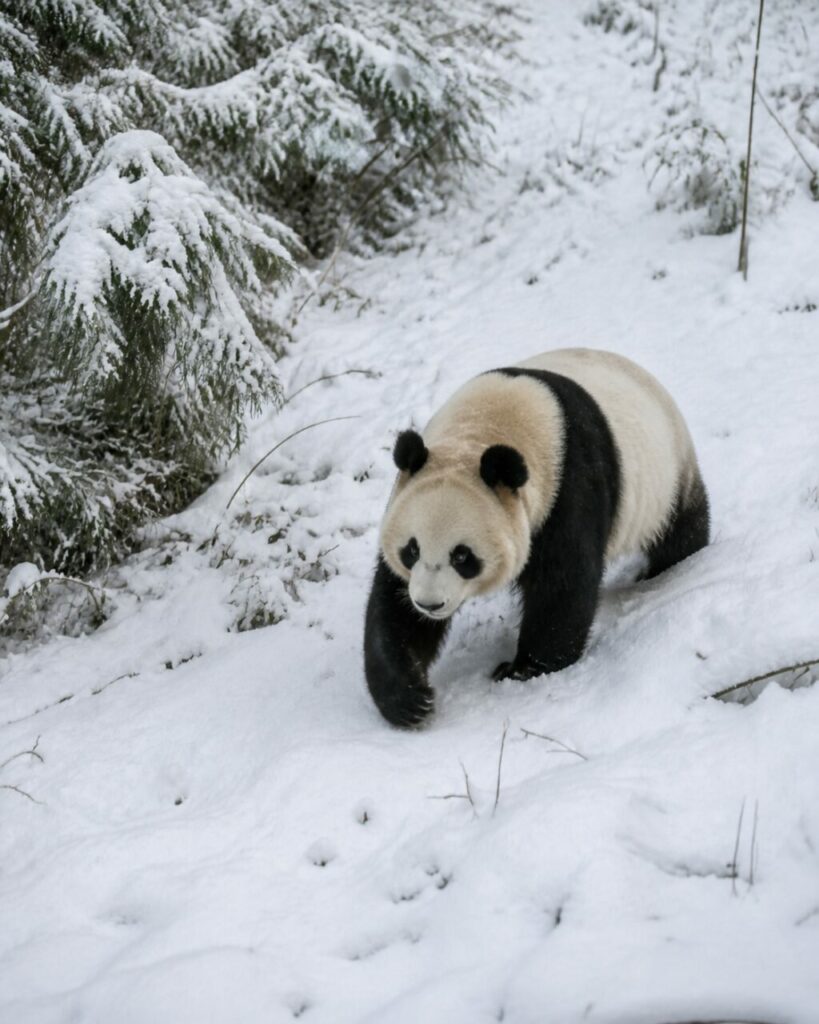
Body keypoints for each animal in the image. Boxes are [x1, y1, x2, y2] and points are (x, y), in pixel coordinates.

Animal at [364, 348, 709, 728]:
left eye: (462, 556)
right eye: (411, 550)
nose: (430, 604)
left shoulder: (568, 491)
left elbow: (563, 588)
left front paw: (521, 670)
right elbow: (394, 607)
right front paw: (409, 699)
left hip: (666, 479)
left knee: (681, 531)